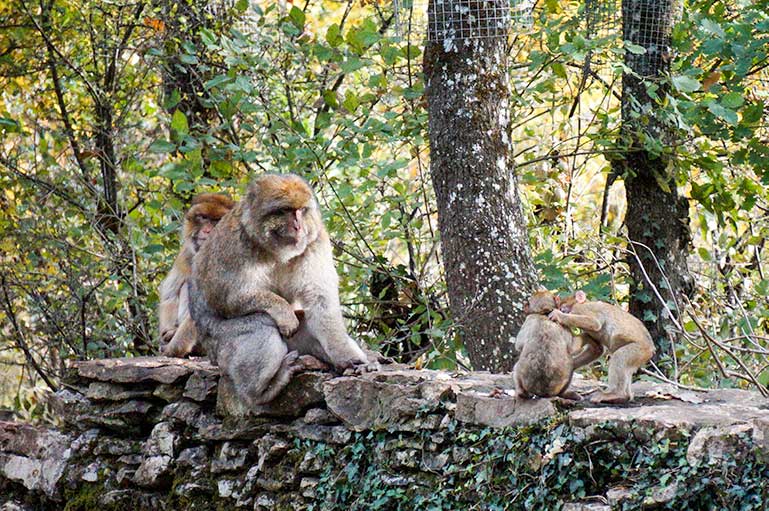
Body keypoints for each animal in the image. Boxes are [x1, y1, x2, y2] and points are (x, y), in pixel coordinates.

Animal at [157, 194, 234, 358]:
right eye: (203, 217)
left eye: (217, 220)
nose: (207, 230)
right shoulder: (185, 255)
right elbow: (170, 295)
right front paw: (166, 334)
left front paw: (173, 349)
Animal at [190, 174, 374, 406]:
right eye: (284, 210)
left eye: (301, 210)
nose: (298, 226)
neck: (275, 250)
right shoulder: (232, 244)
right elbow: (225, 298)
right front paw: (283, 312)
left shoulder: (315, 240)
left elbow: (321, 301)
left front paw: (351, 359)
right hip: (219, 350)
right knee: (261, 323)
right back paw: (262, 390)